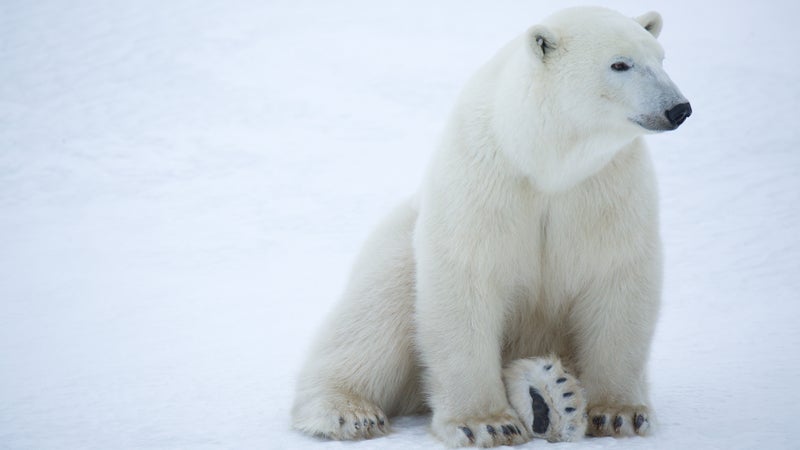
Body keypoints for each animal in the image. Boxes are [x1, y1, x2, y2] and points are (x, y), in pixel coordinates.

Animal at [290, 6, 692, 446]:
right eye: (620, 64)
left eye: (661, 58)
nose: (679, 108)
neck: (545, 163)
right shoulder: (486, 181)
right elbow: (468, 280)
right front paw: (486, 422)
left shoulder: (606, 187)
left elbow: (617, 280)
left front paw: (620, 414)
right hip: (398, 244)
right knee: (375, 315)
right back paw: (350, 411)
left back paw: (551, 396)